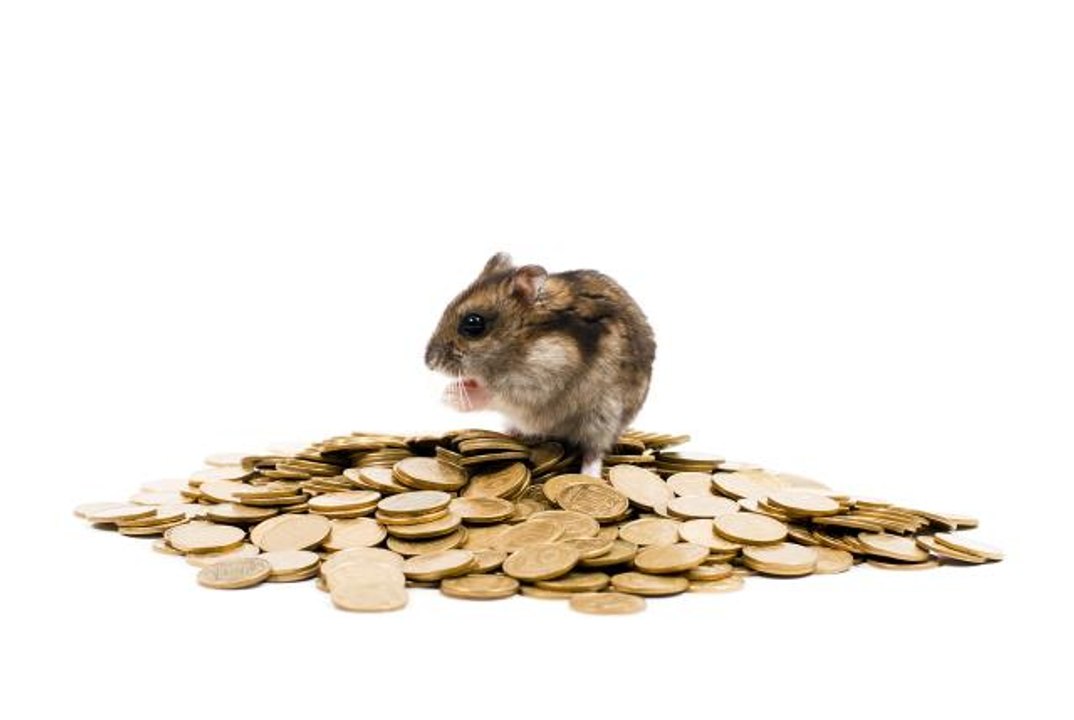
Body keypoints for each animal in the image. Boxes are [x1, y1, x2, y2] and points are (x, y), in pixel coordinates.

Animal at [424, 252, 656, 477]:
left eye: (473, 324)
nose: (428, 363)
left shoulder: (542, 381)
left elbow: (496, 395)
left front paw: (448, 396)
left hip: (602, 419)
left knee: (594, 452)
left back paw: (589, 477)